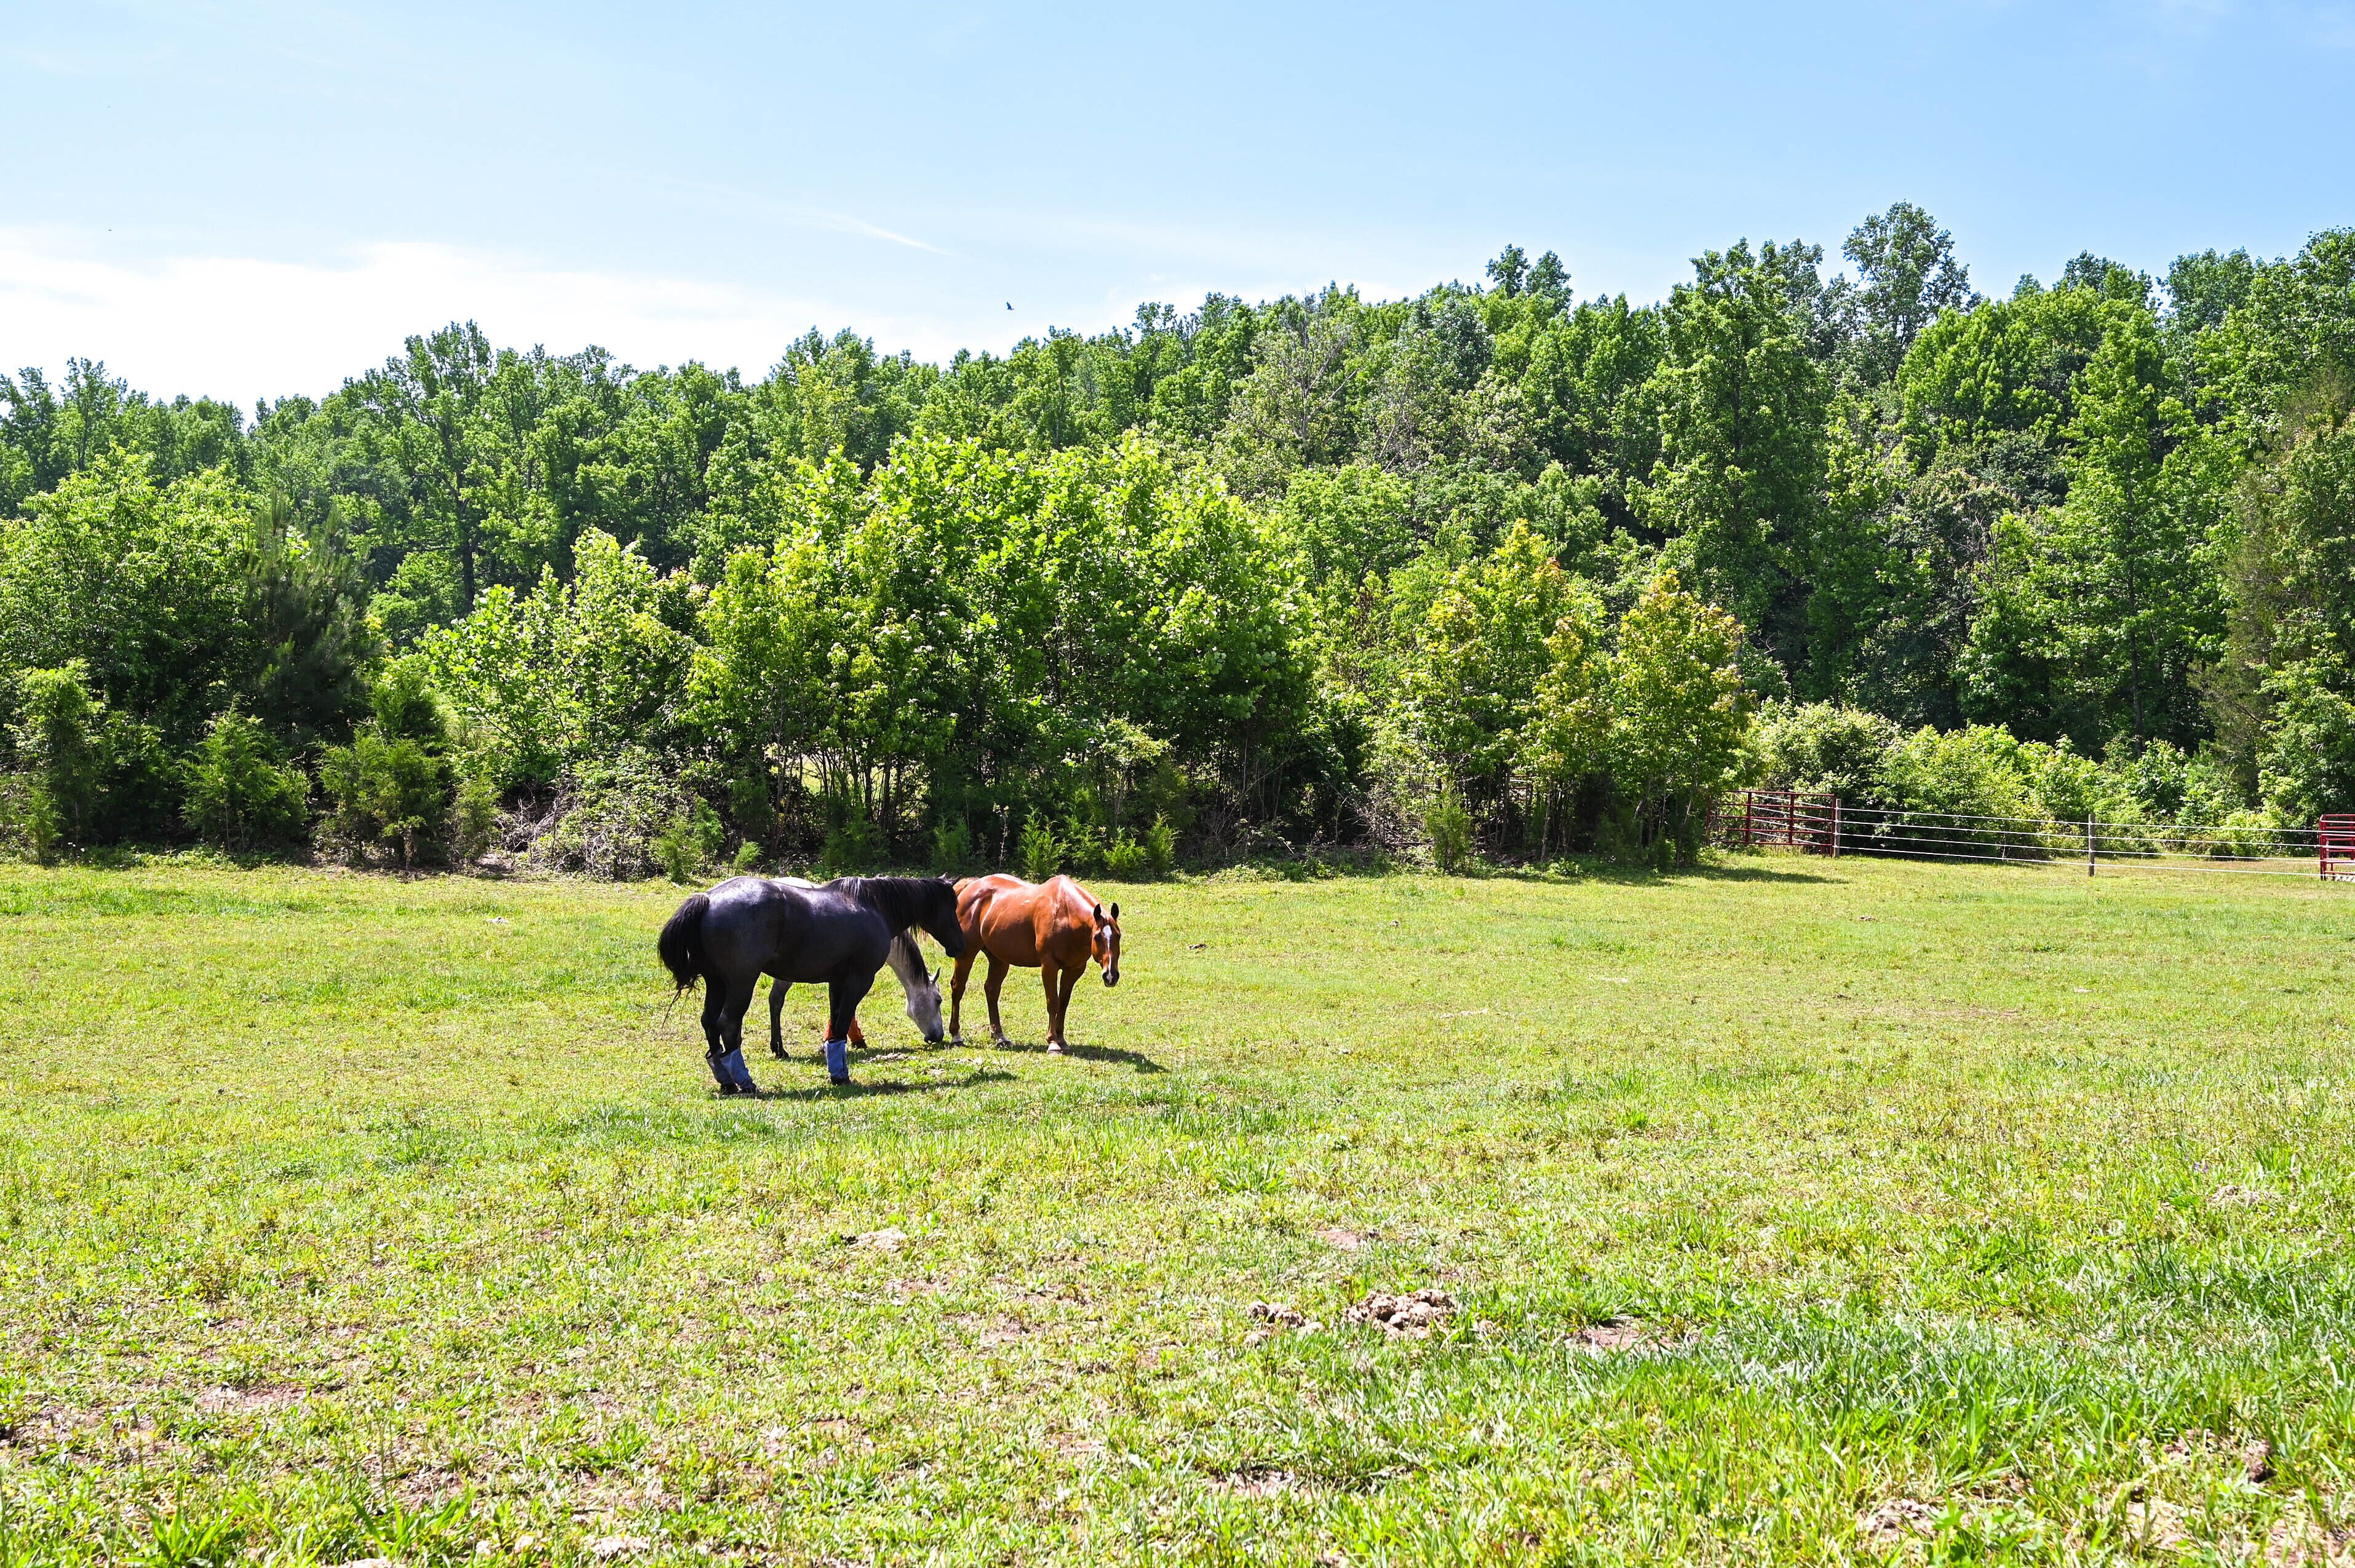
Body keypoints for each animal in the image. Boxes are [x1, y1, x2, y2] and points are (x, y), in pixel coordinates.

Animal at [947, 873, 1122, 1052]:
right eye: (1097, 937)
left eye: (1118, 936)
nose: (1110, 976)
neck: (1065, 914)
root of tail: (972, 885)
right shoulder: (1049, 966)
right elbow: (1053, 1002)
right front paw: (1053, 1042)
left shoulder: (1074, 969)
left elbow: (1063, 1003)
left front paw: (1061, 1039)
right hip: (966, 955)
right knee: (958, 988)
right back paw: (956, 1036)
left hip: (999, 960)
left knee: (992, 990)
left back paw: (1000, 1036)